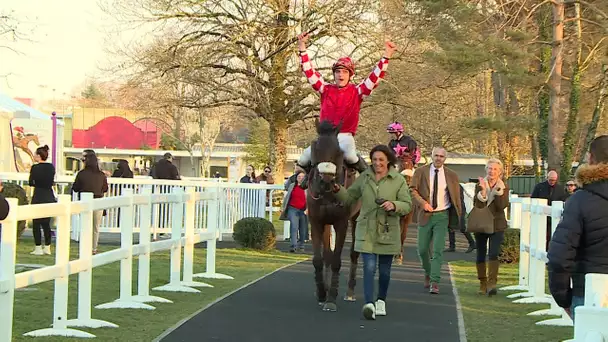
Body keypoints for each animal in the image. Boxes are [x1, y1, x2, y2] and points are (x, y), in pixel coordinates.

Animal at [306, 119, 358, 312]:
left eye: (338, 152)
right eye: (315, 148)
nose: (326, 181)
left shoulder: (341, 223)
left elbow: (336, 260)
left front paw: (332, 298)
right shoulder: (316, 221)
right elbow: (319, 259)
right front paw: (322, 293)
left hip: (356, 219)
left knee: (354, 254)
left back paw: (350, 292)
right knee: (327, 254)